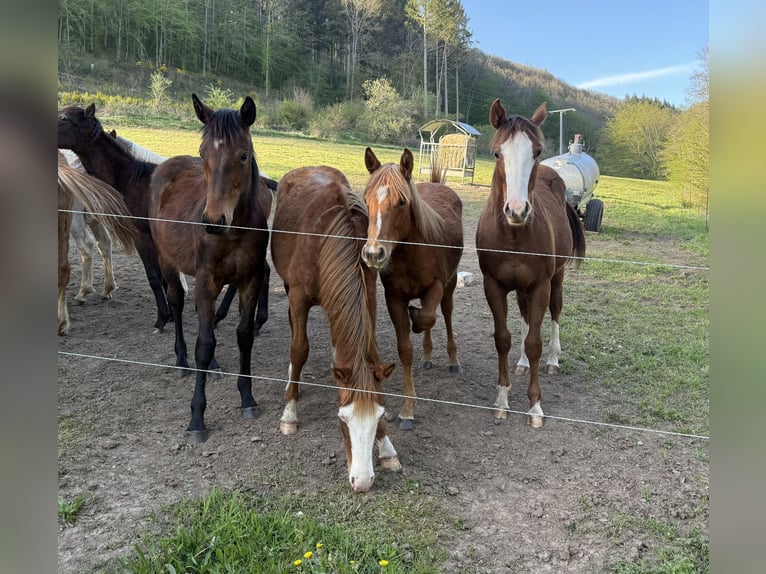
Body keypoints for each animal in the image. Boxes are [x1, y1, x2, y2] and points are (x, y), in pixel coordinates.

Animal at [58, 151, 136, 335]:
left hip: (75, 219)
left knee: (87, 245)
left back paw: (83, 293)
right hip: (93, 218)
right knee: (104, 243)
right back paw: (107, 288)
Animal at [148, 94, 270, 443]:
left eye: (243, 155)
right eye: (204, 153)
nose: (214, 221)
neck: (234, 231)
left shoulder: (250, 280)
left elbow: (244, 336)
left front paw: (247, 398)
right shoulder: (205, 281)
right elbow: (203, 344)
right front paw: (197, 419)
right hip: (167, 261)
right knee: (176, 303)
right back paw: (180, 360)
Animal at [271, 165, 400, 492]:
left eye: (380, 416)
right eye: (343, 420)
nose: (362, 481)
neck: (325, 238)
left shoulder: (367, 294)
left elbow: (370, 352)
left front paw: (387, 448)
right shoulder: (298, 296)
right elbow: (299, 349)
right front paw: (289, 414)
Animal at [361, 147, 464, 430]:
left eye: (401, 202)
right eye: (366, 200)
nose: (374, 254)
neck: (411, 252)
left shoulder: (437, 285)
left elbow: (428, 317)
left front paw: (416, 319)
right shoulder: (394, 298)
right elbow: (405, 349)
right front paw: (407, 409)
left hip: (450, 285)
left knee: (446, 315)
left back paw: (453, 360)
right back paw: (427, 356)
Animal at [476, 100, 586, 428]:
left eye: (536, 151)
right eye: (497, 153)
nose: (516, 210)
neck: (513, 234)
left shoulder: (540, 286)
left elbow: (535, 341)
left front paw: (535, 406)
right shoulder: (493, 286)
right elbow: (504, 339)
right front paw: (502, 400)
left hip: (556, 280)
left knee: (555, 313)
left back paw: (553, 360)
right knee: (526, 320)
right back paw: (523, 364)